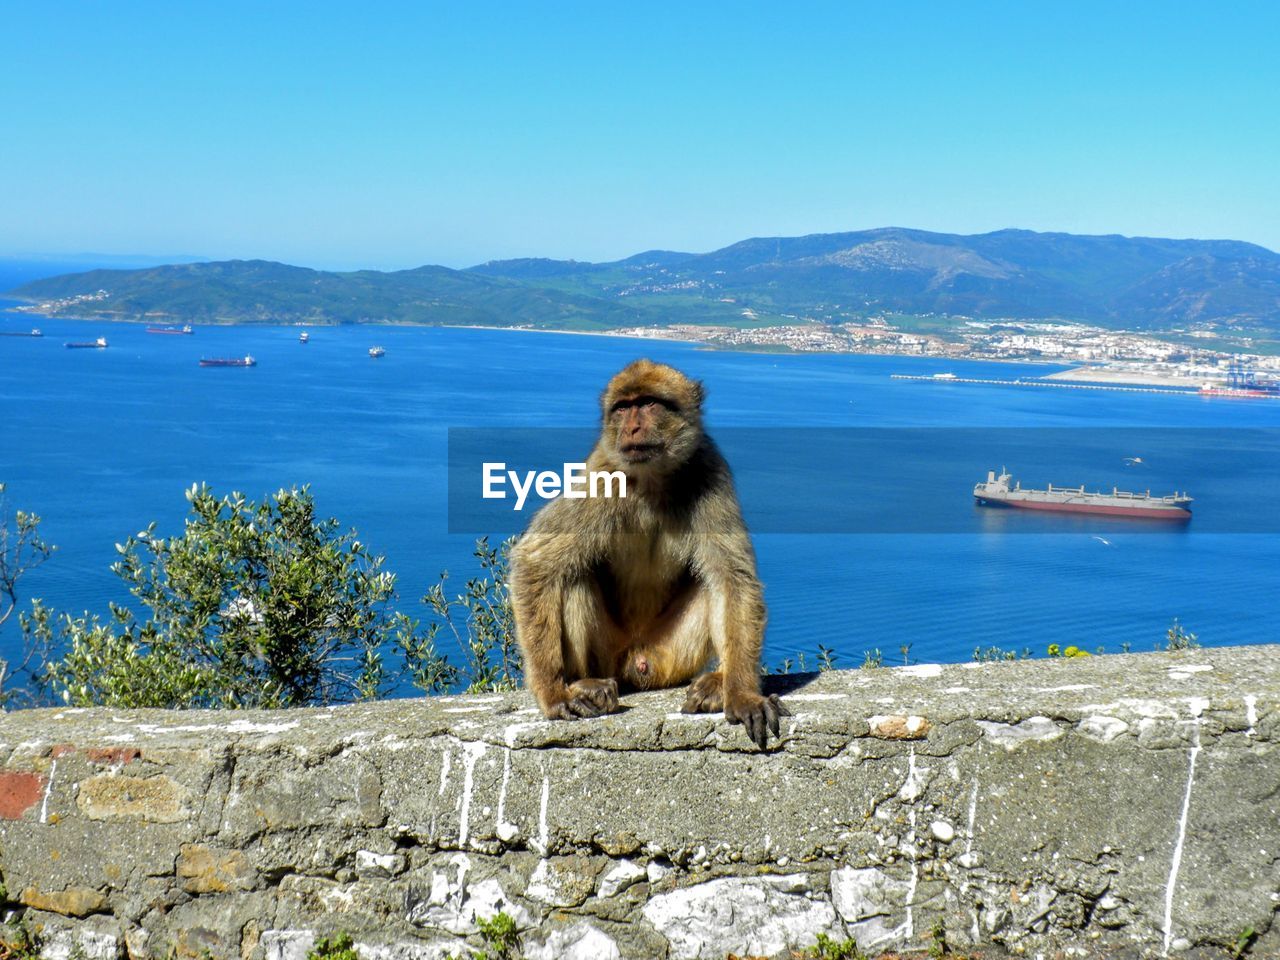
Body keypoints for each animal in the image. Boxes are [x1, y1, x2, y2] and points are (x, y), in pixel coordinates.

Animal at [509, 358, 788, 747]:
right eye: (623, 408)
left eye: (649, 403)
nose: (632, 427)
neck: (652, 480)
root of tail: (636, 662)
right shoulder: (599, 476)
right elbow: (535, 562)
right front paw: (552, 694)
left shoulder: (710, 471)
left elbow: (734, 578)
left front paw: (744, 695)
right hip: (608, 655)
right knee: (573, 576)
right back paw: (585, 684)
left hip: (671, 656)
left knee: (712, 582)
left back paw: (718, 684)